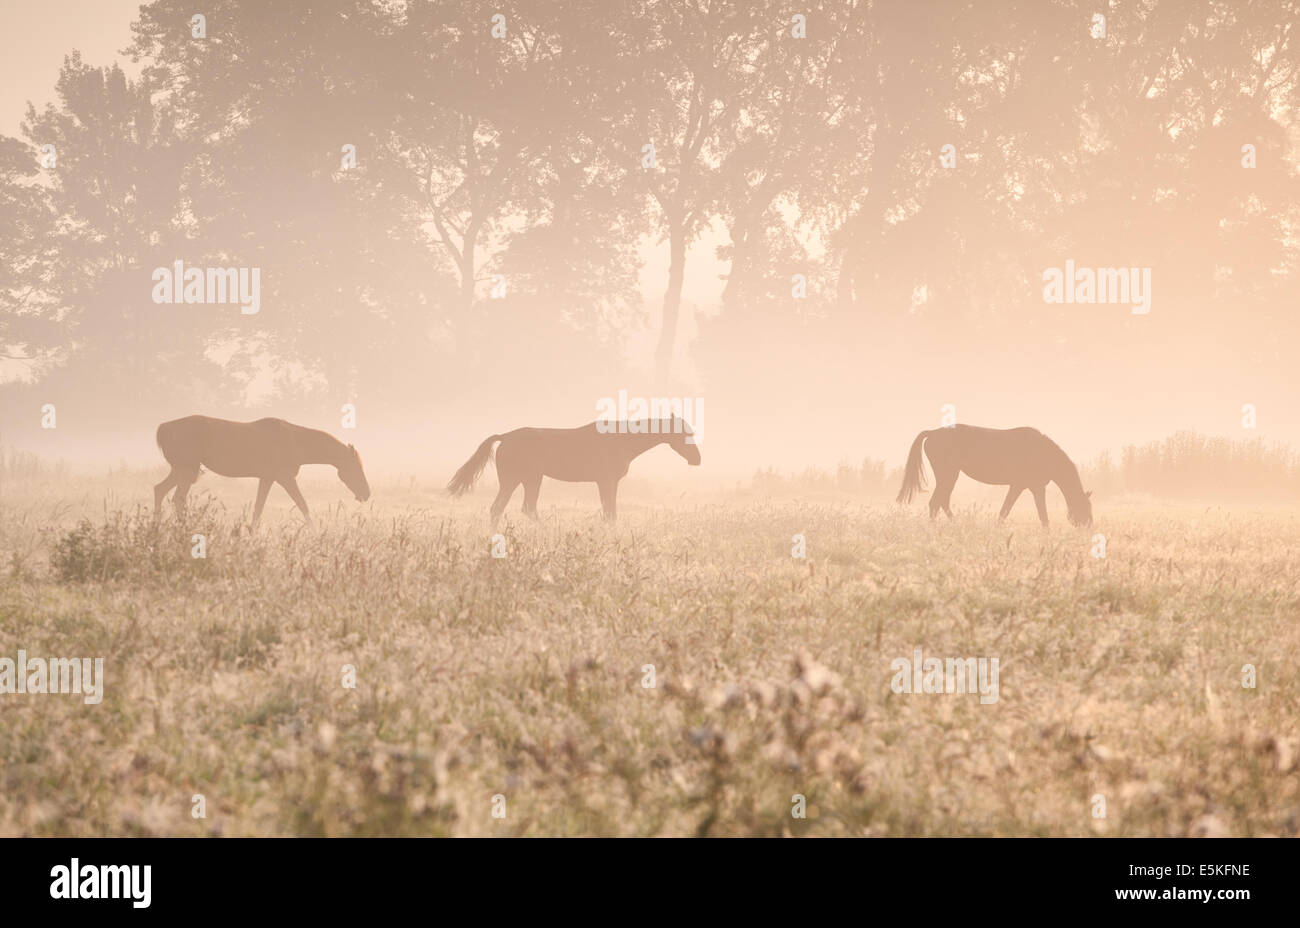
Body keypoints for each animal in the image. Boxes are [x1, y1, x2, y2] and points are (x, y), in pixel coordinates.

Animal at [157, 415, 374, 525]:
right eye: (356, 467)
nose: (366, 493)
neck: (296, 441)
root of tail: (164, 428)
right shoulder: (285, 478)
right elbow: (303, 505)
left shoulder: (267, 478)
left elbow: (258, 509)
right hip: (186, 470)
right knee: (175, 498)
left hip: (182, 471)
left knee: (160, 490)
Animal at [452, 415, 707, 525]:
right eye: (684, 433)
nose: (697, 459)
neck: (621, 441)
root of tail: (505, 437)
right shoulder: (606, 482)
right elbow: (609, 513)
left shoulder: (609, 483)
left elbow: (611, 512)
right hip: (523, 480)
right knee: (513, 508)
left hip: (523, 480)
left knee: (507, 509)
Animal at [894, 423, 1086, 525]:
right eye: (1086, 507)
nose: (1088, 526)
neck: (1043, 452)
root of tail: (932, 433)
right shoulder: (1033, 487)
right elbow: (1041, 515)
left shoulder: (1020, 486)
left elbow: (1005, 511)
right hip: (948, 475)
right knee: (935, 503)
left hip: (949, 476)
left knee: (941, 502)